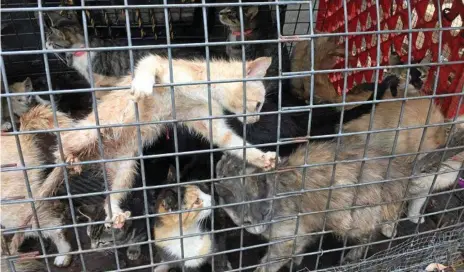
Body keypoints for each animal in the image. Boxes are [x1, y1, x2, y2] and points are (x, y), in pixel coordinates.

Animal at [35, 54, 276, 231]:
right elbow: (148, 63)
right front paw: (142, 85)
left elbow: (230, 141)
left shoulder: (205, 120)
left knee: (111, 194)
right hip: (93, 129)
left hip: (124, 168)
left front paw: (261, 158)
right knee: (65, 142)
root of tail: (93, 155)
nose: (256, 119)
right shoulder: (166, 67)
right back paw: (68, 156)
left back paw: (114, 212)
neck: (207, 88)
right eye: (258, 104)